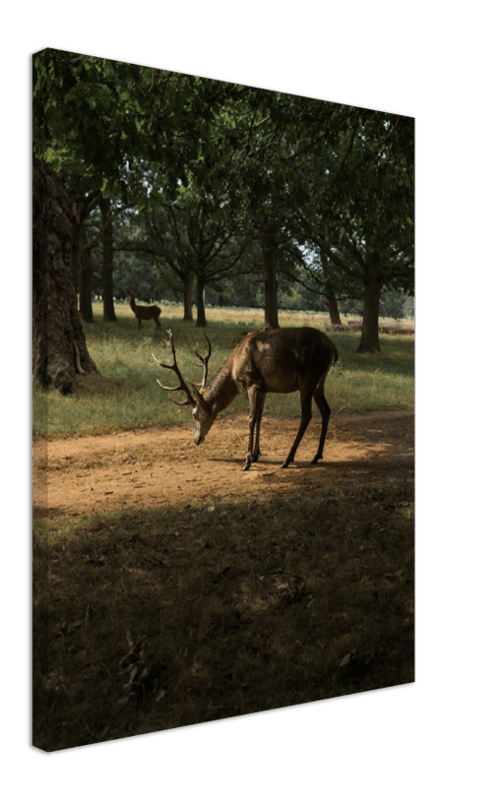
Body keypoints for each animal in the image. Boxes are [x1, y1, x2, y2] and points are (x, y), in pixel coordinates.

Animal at [152, 327, 339, 471]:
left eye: (194, 414)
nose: (196, 439)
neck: (234, 373)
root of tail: (332, 347)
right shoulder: (264, 389)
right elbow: (260, 418)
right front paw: (256, 454)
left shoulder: (252, 383)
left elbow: (251, 419)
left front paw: (247, 461)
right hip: (319, 382)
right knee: (326, 410)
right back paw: (316, 456)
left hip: (308, 378)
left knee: (306, 415)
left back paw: (287, 460)